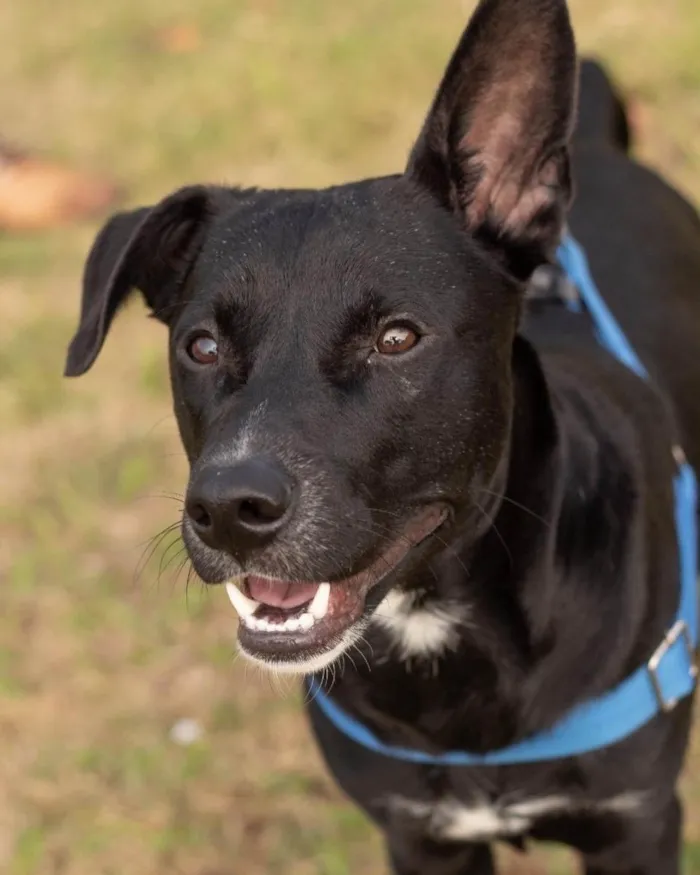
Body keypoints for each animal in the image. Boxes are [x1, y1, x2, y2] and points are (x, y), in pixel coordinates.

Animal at [65, 0, 700, 868]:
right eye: (201, 347)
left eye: (396, 338)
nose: (228, 509)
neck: (436, 626)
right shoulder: (421, 836)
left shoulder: (635, 824)